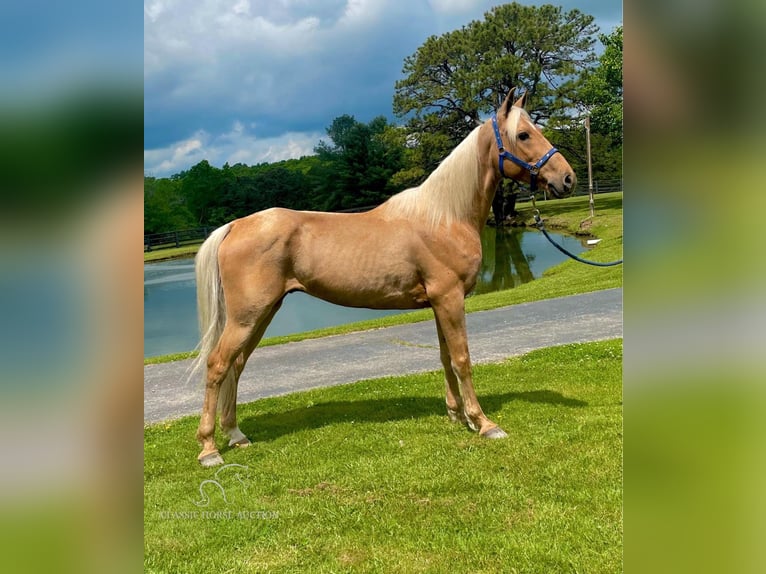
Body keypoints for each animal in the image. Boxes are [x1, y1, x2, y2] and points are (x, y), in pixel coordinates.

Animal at [192, 90, 576, 468]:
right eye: (523, 135)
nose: (568, 178)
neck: (444, 216)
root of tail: (235, 226)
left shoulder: (439, 303)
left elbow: (445, 357)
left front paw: (456, 415)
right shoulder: (450, 298)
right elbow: (462, 358)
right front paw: (483, 422)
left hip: (262, 313)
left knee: (236, 366)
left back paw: (236, 434)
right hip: (247, 317)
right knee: (217, 365)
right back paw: (210, 449)